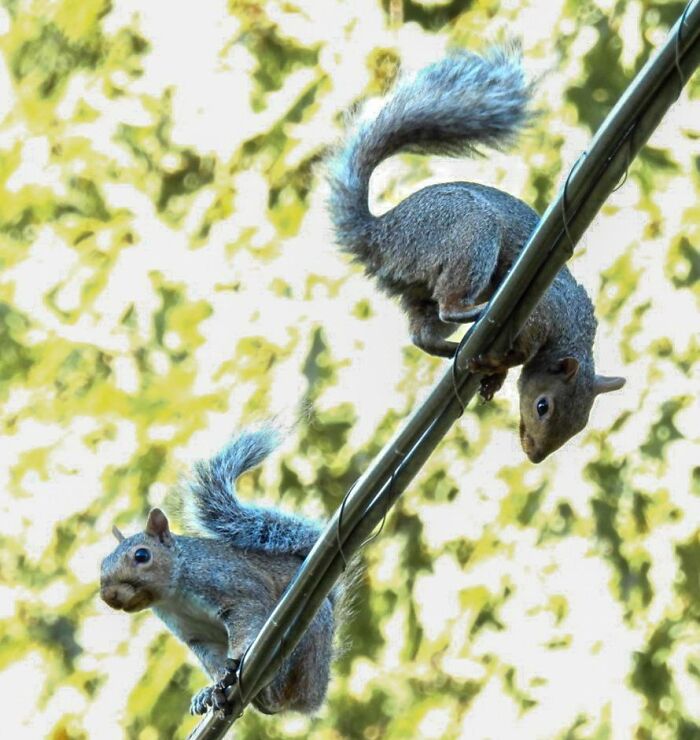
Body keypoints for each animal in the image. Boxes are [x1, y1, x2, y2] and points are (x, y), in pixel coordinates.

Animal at [99, 428, 348, 716]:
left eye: (141, 555)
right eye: (102, 565)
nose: (109, 595)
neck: (174, 595)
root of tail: (315, 694)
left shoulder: (233, 586)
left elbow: (247, 616)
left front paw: (239, 657)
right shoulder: (196, 636)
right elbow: (213, 661)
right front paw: (212, 690)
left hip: (308, 637)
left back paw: (272, 686)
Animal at [326, 46, 628, 462]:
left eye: (579, 425)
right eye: (543, 406)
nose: (535, 456)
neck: (568, 329)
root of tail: (379, 233)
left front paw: (494, 378)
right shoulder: (537, 316)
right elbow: (519, 349)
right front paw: (498, 366)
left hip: (418, 288)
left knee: (424, 333)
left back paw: (452, 347)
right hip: (469, 235)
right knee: (448, 304)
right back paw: (471, 314)